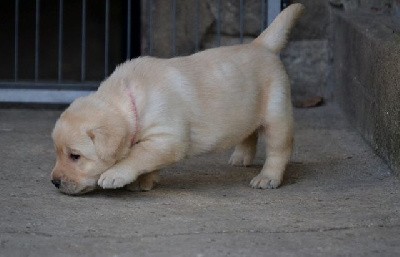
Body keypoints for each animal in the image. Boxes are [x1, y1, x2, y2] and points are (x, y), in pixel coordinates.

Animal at [51, 3, 304, 194]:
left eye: (75, 156)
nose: (54, 181)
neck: (130, 100)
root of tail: (261, 45)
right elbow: (144, 157)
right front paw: (144, 181)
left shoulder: (167, 137)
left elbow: (139, 154)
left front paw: (116, 174)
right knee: (248, 132)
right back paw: (241, 157)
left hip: (277, 113)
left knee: (279, 149)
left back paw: (267, 177)